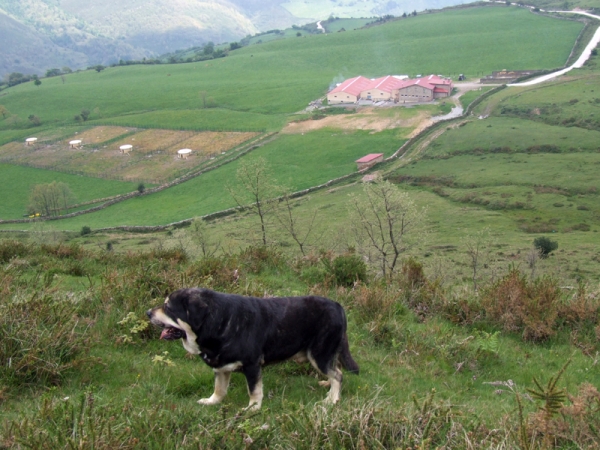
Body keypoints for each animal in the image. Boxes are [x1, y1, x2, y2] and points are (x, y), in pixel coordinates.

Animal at [147, 288, 358, 408]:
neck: (218, 322)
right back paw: (328, 387)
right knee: (335, 371)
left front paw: (252, 409)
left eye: (168, 307)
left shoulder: (252, 366)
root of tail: (338, 305)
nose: (148, 312)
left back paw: (332, 399)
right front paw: (212, 401)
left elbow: (254, 391)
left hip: (319, 354)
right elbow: (219, 389)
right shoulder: (221, 367)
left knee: (338, 374)